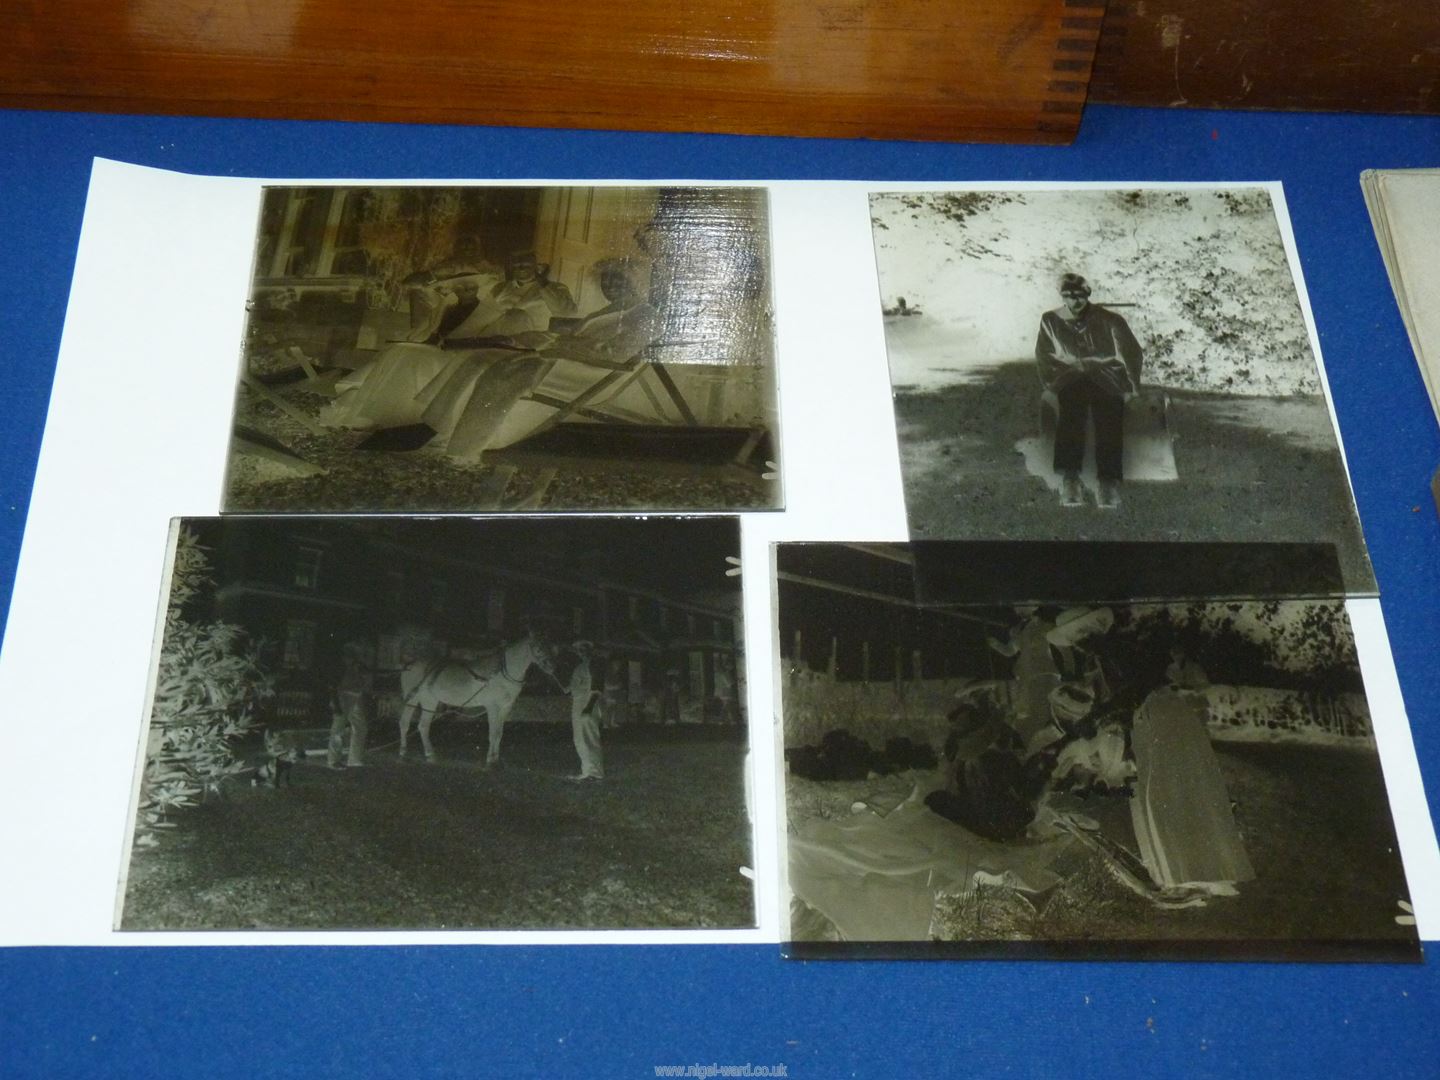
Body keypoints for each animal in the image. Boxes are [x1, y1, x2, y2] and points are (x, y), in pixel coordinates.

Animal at [400, 624, 555, 771]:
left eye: (549, 646)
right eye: (537, 647)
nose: (551, 667)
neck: (500, 673)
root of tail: (409, 665)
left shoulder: (505, 708)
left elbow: (499, 734)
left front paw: (496, 760)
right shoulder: (492, 707)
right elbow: (493, 733)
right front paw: (491, 762)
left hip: (429, 701)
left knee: (423, 726)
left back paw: (430, 756)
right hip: (412, 699)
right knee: (405, 723)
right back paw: (403, 753)